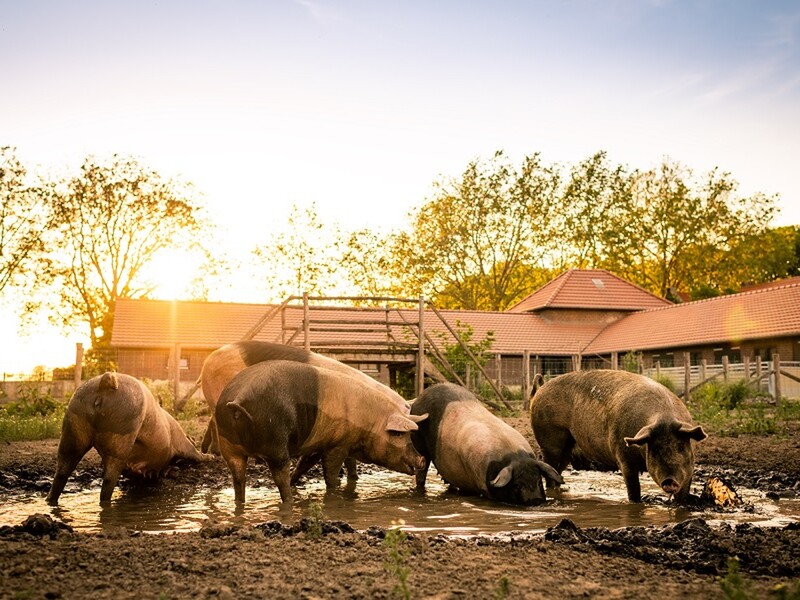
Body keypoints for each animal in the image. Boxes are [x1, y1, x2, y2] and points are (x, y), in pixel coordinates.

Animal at [45, 370, 209, 506]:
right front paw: (210, 457)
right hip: (123, 429)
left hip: (73, 423)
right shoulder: (181, 440)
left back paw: (50, 500)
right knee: (109, 479)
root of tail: (106, 382)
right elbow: (194, 453)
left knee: (62, 470)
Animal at [211, 358, 424, 504]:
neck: (369, 422)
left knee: (238, 478)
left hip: (229, 446)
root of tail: (238, 399)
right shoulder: (337, 445)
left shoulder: (323, 444)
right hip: (275, 445)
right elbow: (330, 473)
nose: (421, 459)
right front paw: (334, 492)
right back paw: (289, 500)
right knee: (280, 477)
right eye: (398, 434)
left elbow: (305, 465)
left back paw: (241, 502)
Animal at [412, 382, 564, 504]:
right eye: (516, 485)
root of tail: (421, 395)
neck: (514, 456)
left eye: (539, 481)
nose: (535, 500)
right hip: (418, 442)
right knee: (422, 470)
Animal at [532, 370, 708, 502]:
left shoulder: (689, 469)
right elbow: (633, 488)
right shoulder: (623, 456)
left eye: (681, 447)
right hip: (549, 440)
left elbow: (683, 494)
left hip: (567, 447)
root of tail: (541, 388)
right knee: (550, 467)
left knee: (559, 469)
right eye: (655, 450)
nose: (670, 481)